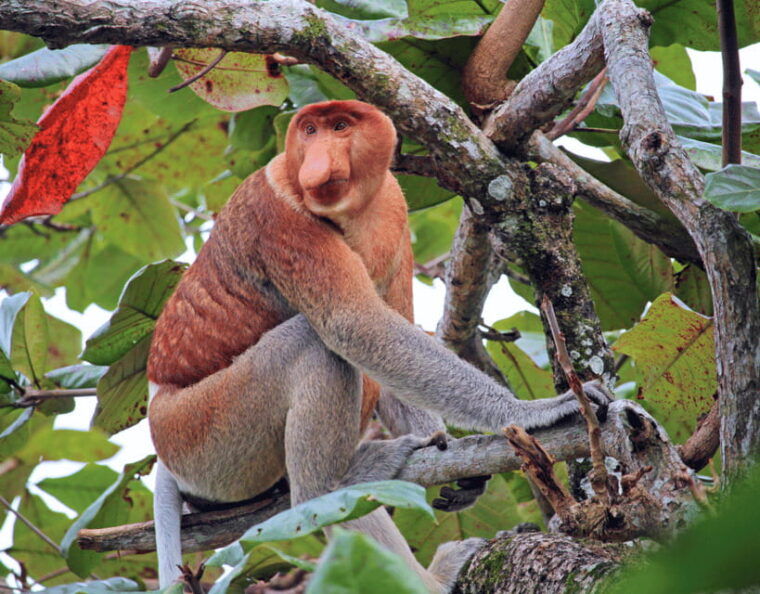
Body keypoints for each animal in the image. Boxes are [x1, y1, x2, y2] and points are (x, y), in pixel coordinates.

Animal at [147, 100, 610, 592]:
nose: (317, 164)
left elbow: (392, 328)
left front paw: (448, 449)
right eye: (309, 130)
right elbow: (357, 324)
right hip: (202, 433)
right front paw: (537, 411)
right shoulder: (279, 218)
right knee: (313, 348)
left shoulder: (392, 206)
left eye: (340, 126)